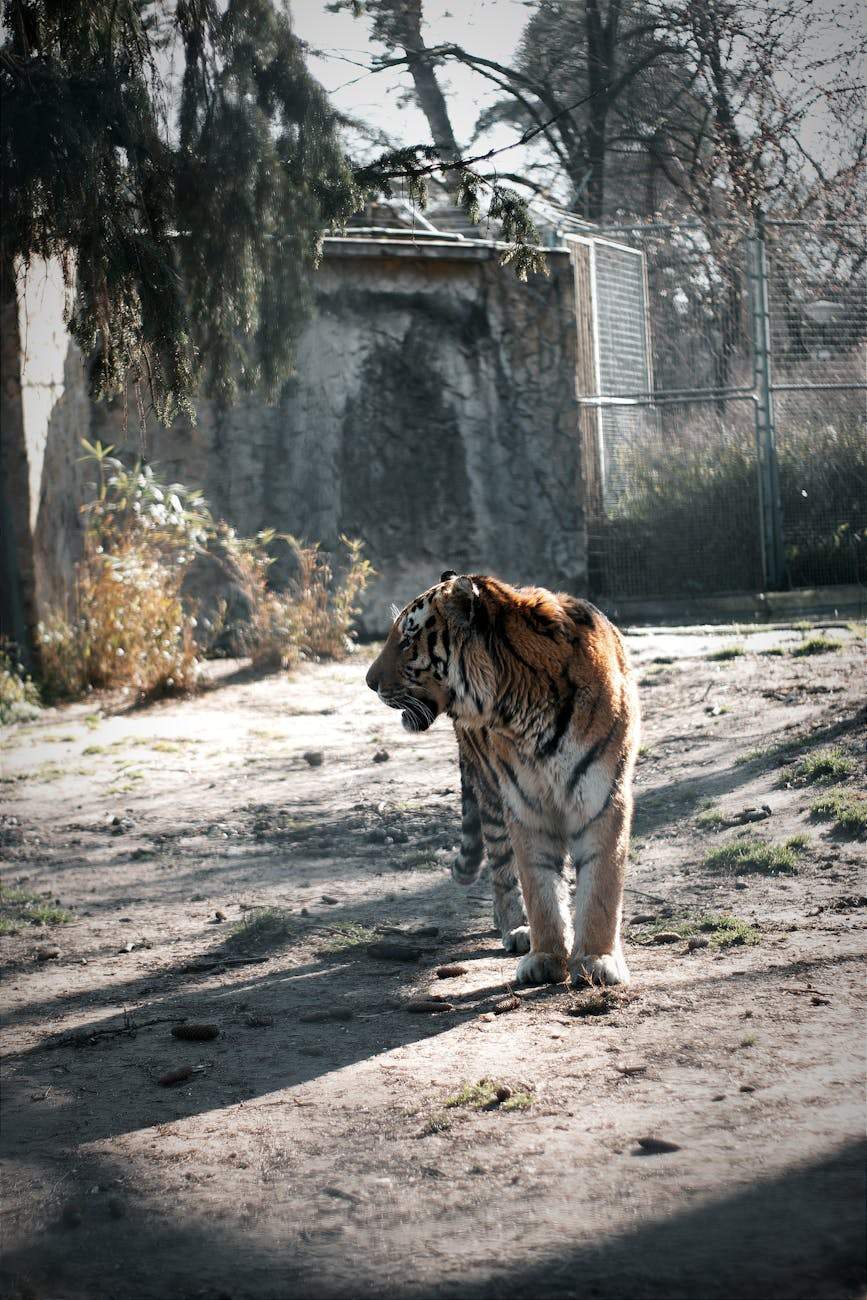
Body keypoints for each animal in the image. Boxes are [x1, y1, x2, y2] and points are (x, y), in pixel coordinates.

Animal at [365, 571, 641, 987]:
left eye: (408, 639)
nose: (368, 682)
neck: (522, 708)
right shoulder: (525, 805)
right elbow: (538, 886)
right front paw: (545, 955)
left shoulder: (603, 800)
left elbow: (601, 886)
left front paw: (596, 959)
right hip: (492, 798)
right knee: (502, 871)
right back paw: (515, 927)